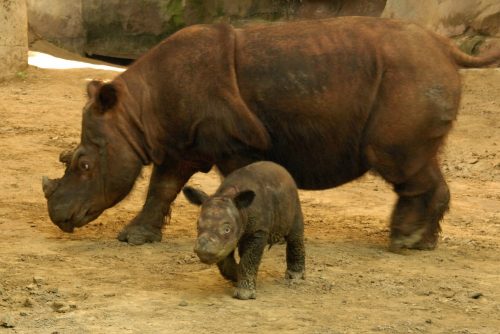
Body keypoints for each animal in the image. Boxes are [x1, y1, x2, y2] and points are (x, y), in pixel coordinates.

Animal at [42, 16, 500, 250]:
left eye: (84, 164)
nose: (59, 218)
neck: (136, 111)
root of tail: (446, 48)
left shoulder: (235, 141)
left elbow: (239, 183)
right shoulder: (181, 141)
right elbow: (162, 187)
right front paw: (134, 238)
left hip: (410, 75)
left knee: (396, 159)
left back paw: (406, 241)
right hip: (415, 73)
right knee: (416, 162)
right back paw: (417, 242)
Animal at [183, 160, 304, 298]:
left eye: (227, 229)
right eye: (197, 226)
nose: (203, 250)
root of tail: (281, 168)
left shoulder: (258, 230)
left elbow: (250, 257)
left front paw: (244, 294)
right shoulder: (225, 242)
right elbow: (226, 258)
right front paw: (236, 275)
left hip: (293, 197)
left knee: (295, 233)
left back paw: (294, 277)